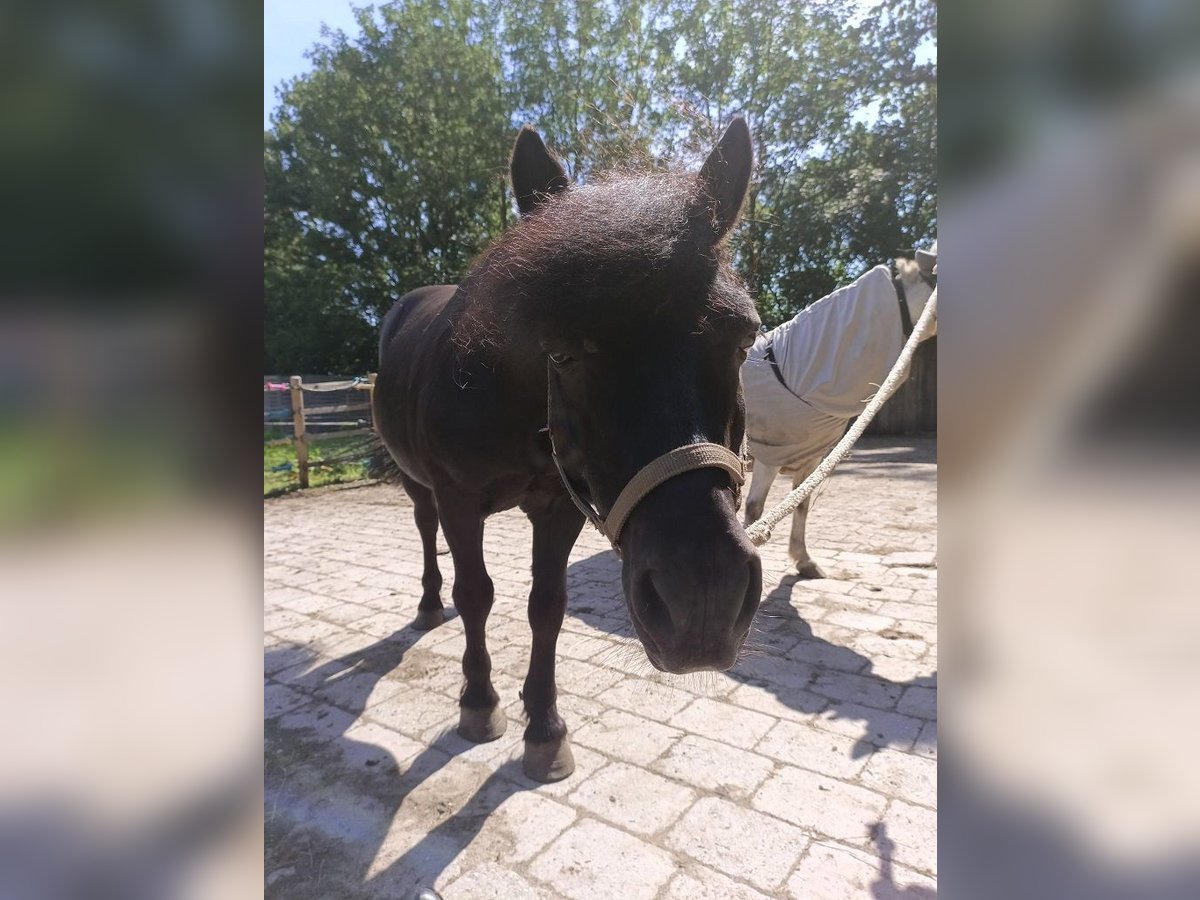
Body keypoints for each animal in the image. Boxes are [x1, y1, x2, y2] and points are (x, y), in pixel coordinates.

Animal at [379, 120, 763, 782]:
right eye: (560, 352)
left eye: (744, 340)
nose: (703, 599)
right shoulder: (459, 500)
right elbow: (476, 594)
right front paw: (479, 703)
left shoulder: (559, 507)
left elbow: (548, 607)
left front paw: (544, 729)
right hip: (418, 484)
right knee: (424, 530)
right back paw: (428, 605)